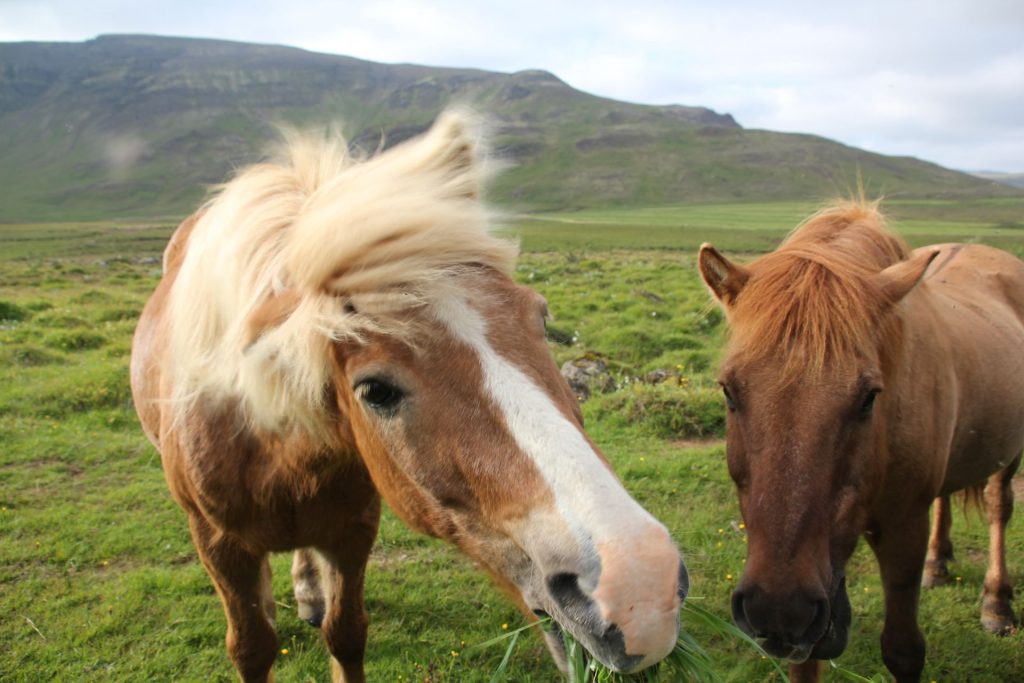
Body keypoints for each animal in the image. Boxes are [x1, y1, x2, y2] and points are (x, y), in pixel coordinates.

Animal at [128, 109, 688, 679]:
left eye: (541, 318)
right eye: (375, 390)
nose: (640, 590)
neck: (271, 449)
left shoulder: (353, 531)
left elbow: (346, 632)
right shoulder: (218, 544)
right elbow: (251, 647)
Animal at [696, 202, 1024, 683]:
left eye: (869, 397)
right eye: (728, 391)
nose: (778, 608)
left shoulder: (903, 529)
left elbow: (904, 650)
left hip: (1009, 454)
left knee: (999, 506)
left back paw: (997, 604)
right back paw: (938, 564)